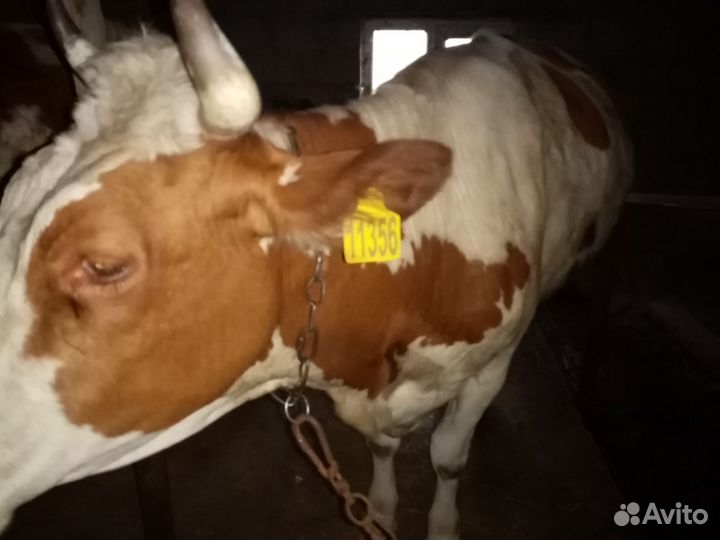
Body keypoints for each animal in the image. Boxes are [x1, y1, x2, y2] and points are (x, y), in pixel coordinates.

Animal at [0, 0, 632, 537]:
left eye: (103, 265)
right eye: (7, 201)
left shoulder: (488, 366)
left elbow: (448, 457)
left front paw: (443, 525)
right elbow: (384, 449)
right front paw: (381, 508)